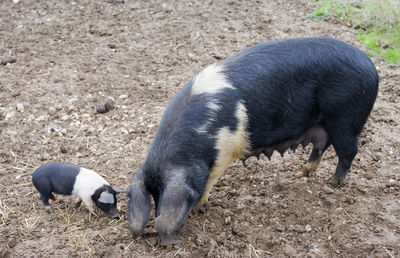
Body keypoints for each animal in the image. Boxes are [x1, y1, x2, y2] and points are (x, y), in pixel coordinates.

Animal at [127, 36, 378, 244]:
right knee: (321, 145)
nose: (166, 242)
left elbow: (208, 181)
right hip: (323, 124)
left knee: (349, 151)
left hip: (346, 119)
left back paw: (333, 183)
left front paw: (200, 207)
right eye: (154, 195)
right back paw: (302, 173)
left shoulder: (224, 152)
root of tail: (371, 67)